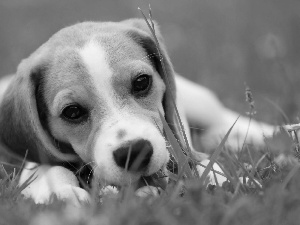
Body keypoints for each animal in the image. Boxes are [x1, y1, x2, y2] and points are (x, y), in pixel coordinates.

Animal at [0, 18, 288, 205]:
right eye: (72, 112)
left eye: (141, 82)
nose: (134, 152)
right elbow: (49, 168)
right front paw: (61, 193)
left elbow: (206, 163)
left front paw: (222, 182)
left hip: (199, 101)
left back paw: (279, 135)